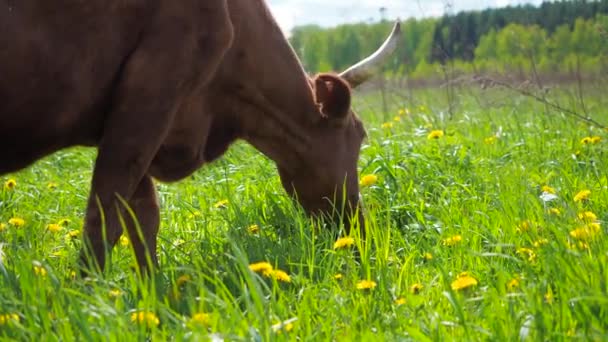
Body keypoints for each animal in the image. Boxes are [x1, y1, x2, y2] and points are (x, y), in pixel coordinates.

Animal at [0, 0, 402, 272]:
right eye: (360, 136)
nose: (362, 235)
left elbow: (142, 219)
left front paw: (153, 299)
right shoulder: (149, 98)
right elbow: (104, 219)